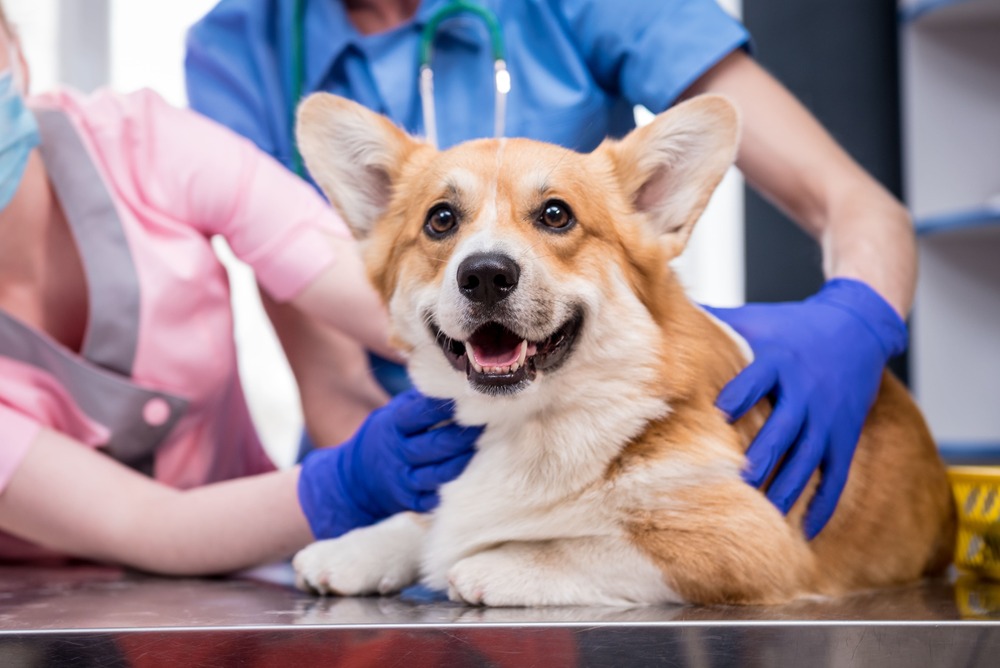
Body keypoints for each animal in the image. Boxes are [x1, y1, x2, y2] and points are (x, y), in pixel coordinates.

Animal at [290, 91, 952, 608]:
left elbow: (589, 541)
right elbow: (426, 516)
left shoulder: (751, 541)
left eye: (556, 214)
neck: (530, 421)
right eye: (441, 220)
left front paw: (494, 561)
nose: (485, 275)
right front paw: (360, 545)